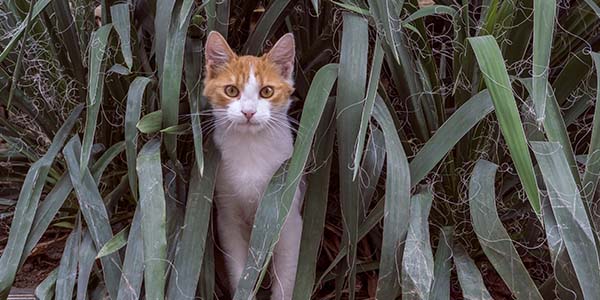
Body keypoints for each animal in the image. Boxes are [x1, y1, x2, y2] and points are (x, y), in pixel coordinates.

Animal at [203, 31, 304, 300]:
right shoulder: (227, 217)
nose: (248, 112)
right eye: (231, 90)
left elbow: (286, 278)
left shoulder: (288, 220)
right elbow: (240, 272)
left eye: (267, 91)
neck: (251, 151)